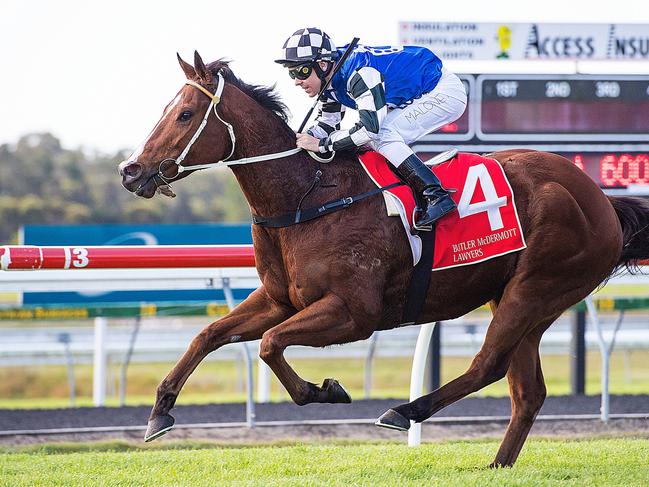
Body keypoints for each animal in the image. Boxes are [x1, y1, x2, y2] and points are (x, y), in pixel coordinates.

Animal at [117, 51, 648, 468]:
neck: (307, 198)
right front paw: (160, 411)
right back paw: (497, 463)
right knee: (527, 391)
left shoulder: (356, 313)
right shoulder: (279, 299)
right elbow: (209, 335)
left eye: (185, 114)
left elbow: (269, 345)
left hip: (538, 287)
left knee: (488, 366)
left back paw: (404, 412)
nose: (131, 171)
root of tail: (601, 198)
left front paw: (323, 390)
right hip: (518, 297)